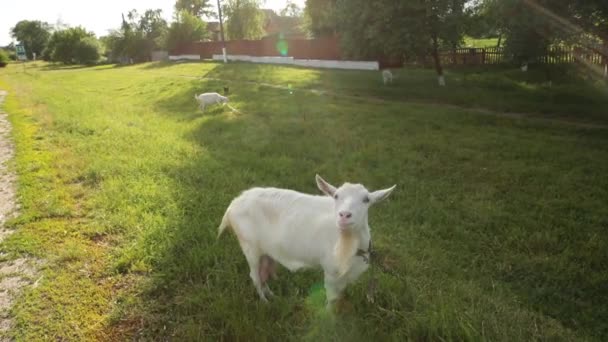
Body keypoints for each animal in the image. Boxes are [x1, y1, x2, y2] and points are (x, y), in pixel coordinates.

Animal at [216, 175, 396, 308]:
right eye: (336, 196)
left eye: (366, 199)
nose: (344, 215)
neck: (348, 243)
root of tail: (233, 205)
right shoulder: (331, 271)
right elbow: (332, 299)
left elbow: (339, 296)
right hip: (249, 245)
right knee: (254, 275)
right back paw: (265, 302)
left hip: (265, 250)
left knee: (263, 272)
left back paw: (272, 296)